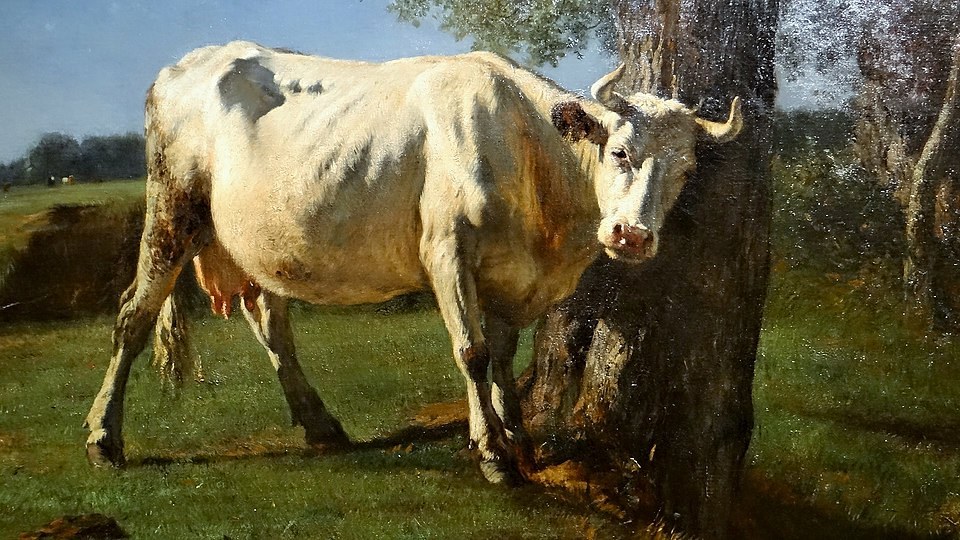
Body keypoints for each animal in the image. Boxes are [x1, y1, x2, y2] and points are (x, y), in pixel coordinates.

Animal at [84, 41, 742, 484]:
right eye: (620, 151)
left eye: (685, 171)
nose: (631, 235)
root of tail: (189, 62)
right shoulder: (447, 250)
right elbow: (473, 352)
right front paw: (494, 456)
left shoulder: (512, 277)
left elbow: (504, 355)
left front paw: (520, 439)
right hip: (171, 208)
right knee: (134, 315)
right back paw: (103, 438)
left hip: (259, 240)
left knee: (269, 322)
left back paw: (321, 425)